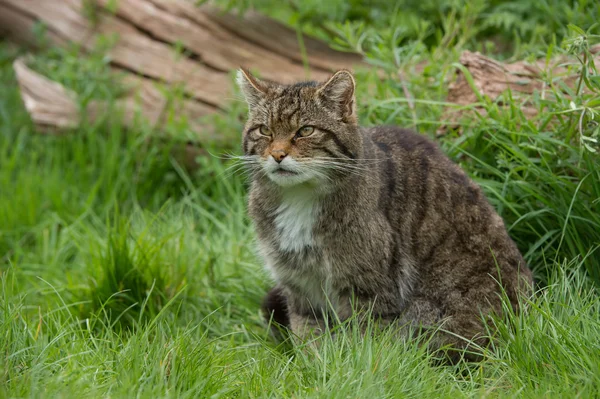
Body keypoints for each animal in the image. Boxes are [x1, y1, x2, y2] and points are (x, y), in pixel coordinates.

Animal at [237, 67, 532, 360]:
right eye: (264, 130)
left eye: (305, 130)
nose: (277, 154)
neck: (298, 197)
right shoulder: (299, 287)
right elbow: (308, 337)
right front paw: (312, 364)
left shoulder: (370, 290)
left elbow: (364, 342)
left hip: (427, 312)